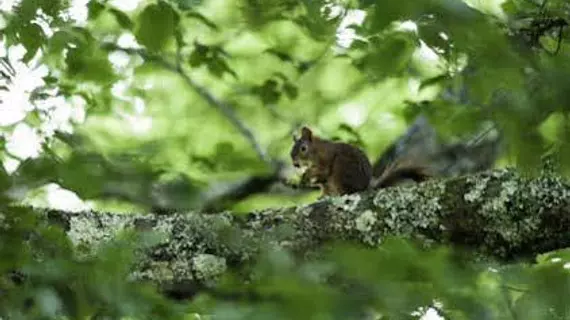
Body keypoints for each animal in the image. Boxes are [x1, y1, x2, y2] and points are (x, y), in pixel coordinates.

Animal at [290, 125, 428, 196]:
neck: (316, 150)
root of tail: (364, 187)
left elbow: (323, 171)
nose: (295, 164)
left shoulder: (326, 158)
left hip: (341, 169)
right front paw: (303, 179)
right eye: (291, 150)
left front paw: (306, 176)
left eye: (303, 148)